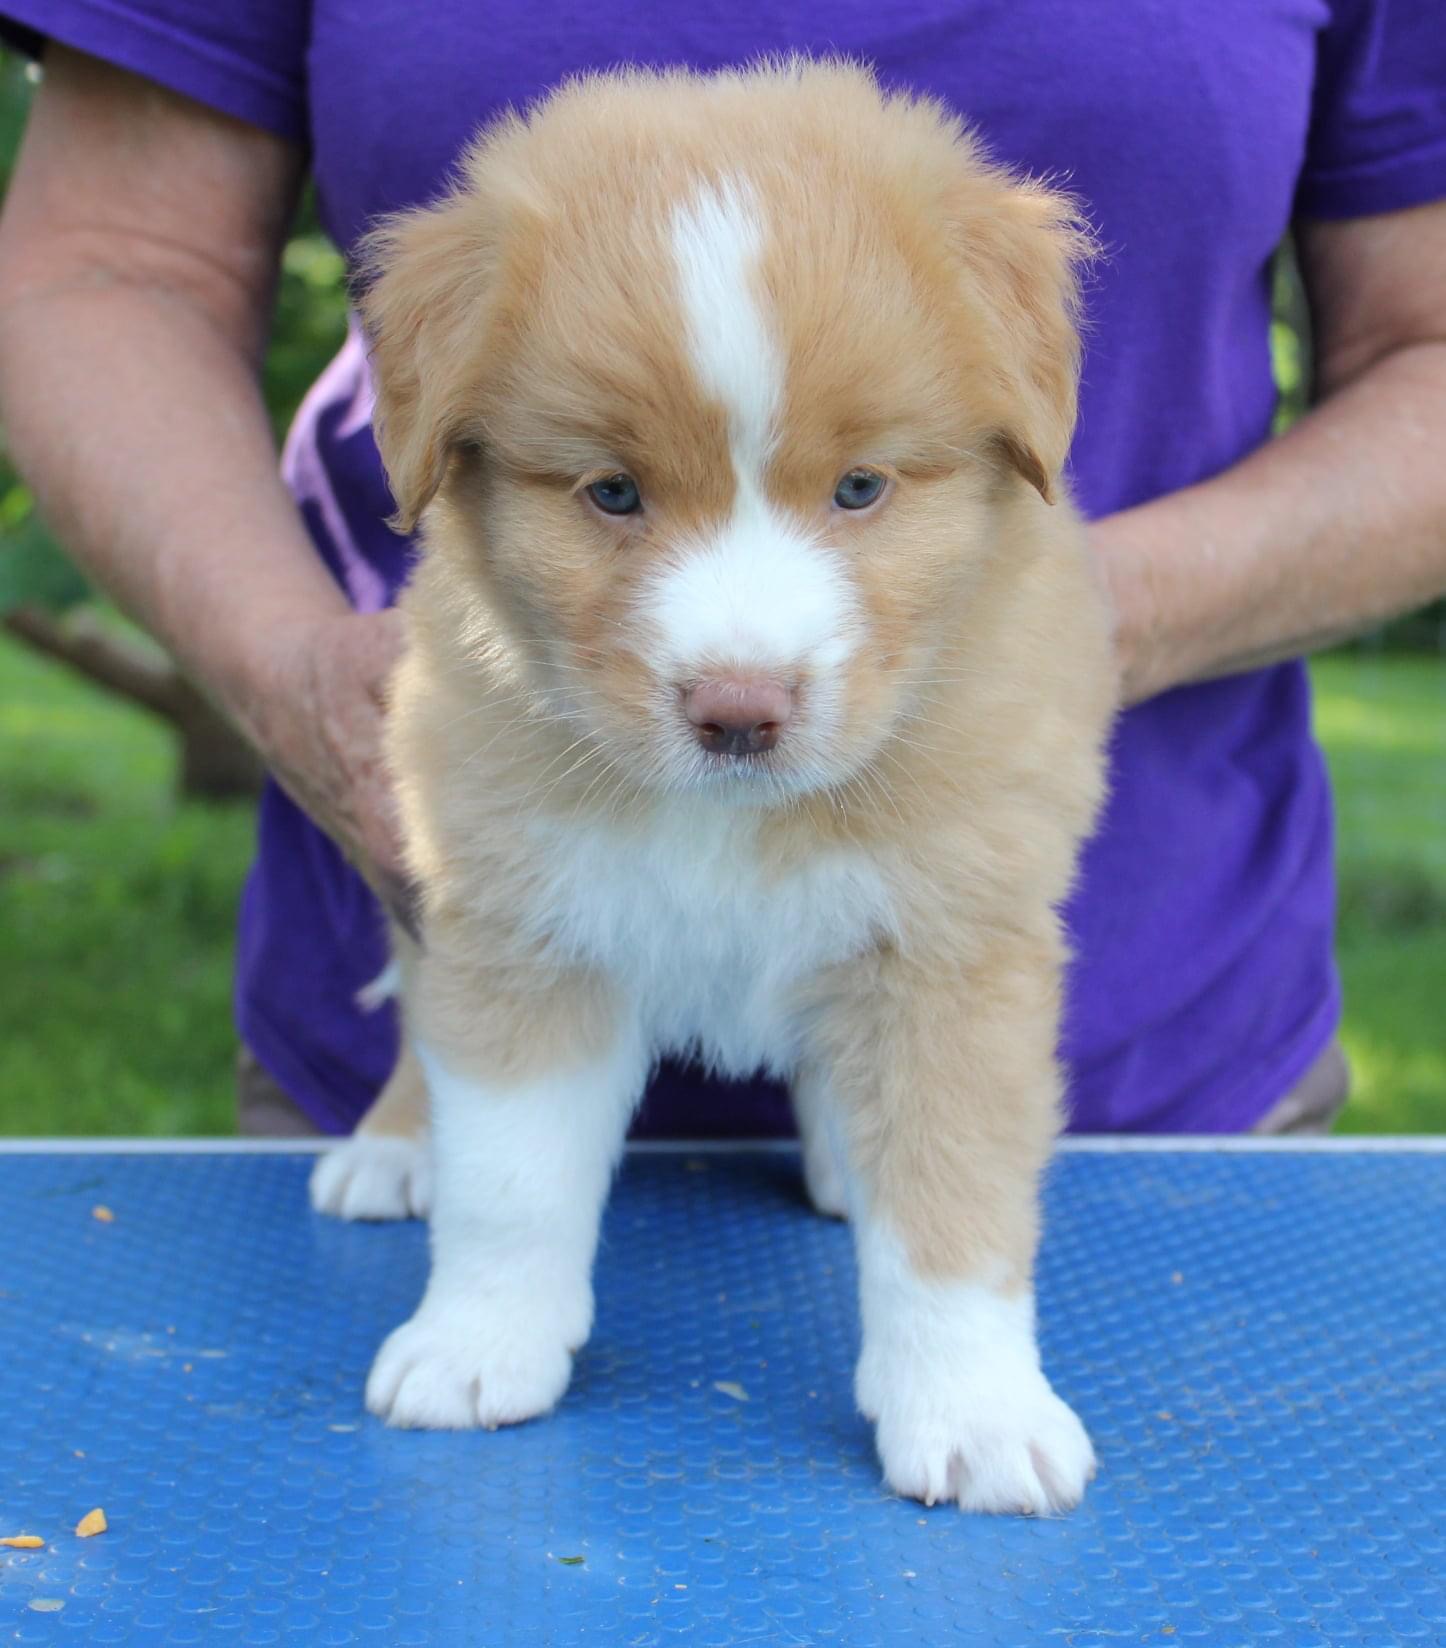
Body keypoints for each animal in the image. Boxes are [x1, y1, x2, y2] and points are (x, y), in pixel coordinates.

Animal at [306, 58, 1114, 1509]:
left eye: (860, 488)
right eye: (612, 494)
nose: (739, 709)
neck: (725, 818)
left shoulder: (953, 945)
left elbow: (954, 1201)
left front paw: (975, 1415)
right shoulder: (519, 920)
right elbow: (509, 1180)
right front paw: (474, 1349)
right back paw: (393, 1146)